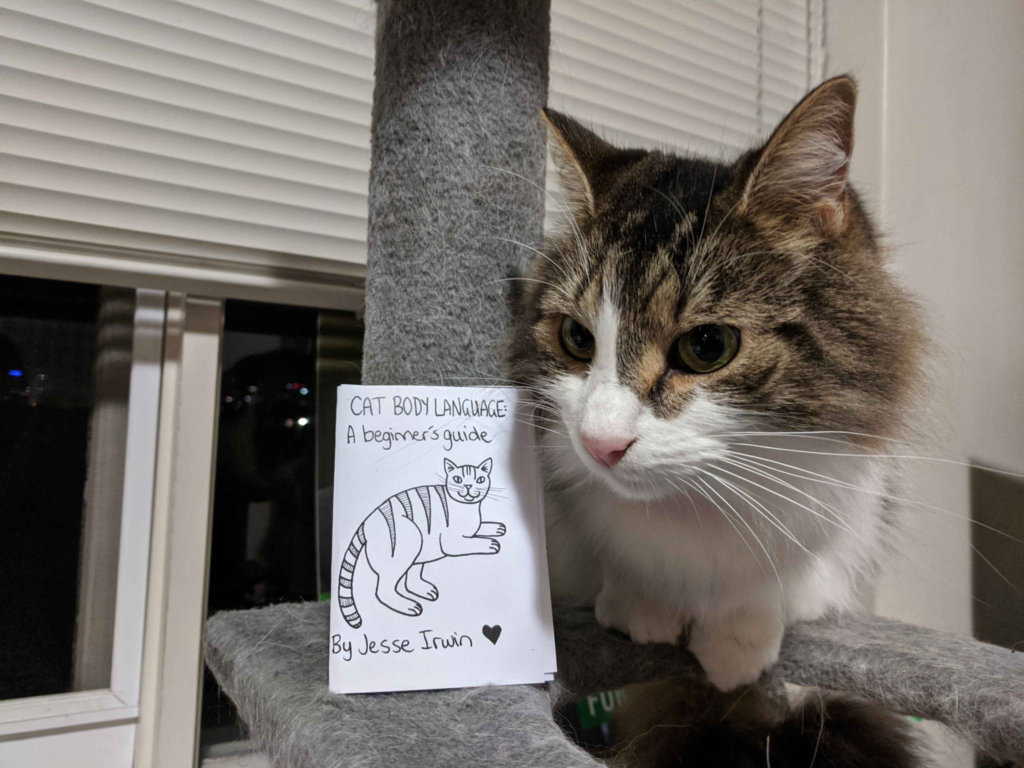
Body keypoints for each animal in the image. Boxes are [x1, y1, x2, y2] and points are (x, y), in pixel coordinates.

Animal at [339, 460, 503, 626]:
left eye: (480, 480)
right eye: (458, 479)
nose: (468, 486)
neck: (468, 508)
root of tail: (366, 523)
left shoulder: (470, 529)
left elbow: (480, 527)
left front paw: (496, 527)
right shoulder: (451, 542)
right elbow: (473, 542)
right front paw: (491, 544)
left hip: (419, 548)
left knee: (410, 579)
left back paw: (424, 590)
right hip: (409, 538)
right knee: (383, 590)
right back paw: (407, 606)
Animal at [507, 76, 925, 692]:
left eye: (707, 346)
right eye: (577, 339)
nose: (601, 445)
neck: (697, 506)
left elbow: (768, 582)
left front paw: (737, 647)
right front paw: (641, 610)